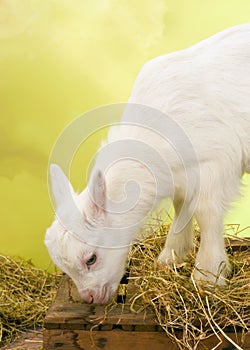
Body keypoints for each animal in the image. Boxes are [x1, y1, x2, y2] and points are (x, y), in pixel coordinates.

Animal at [45, 23, 250, 304]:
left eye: (91, 259)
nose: (91, 298)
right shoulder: (182, 174)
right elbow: (182, 207)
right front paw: (171, 256)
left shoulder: (216, 159)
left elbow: (205, 212)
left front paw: (207, 275)